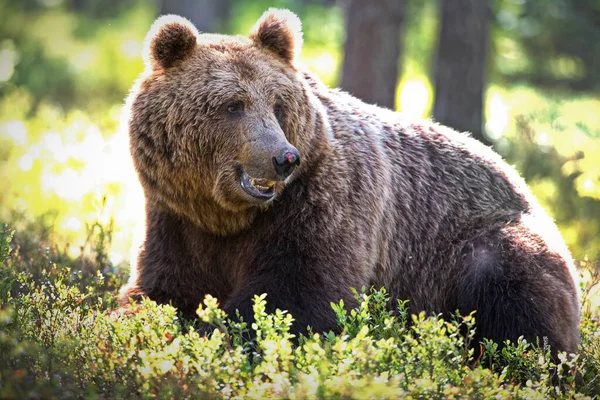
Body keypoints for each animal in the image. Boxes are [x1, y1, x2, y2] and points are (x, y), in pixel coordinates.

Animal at [118, 8, 580, 354]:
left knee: (517, 301)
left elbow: (298, 296)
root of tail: (526, 187)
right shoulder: (176, 219)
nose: (283, 158)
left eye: (278, 104)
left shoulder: (324, 204)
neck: (228, 216)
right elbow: (161, 289)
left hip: (480, 244)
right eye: (233, 105)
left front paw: (226, 335)